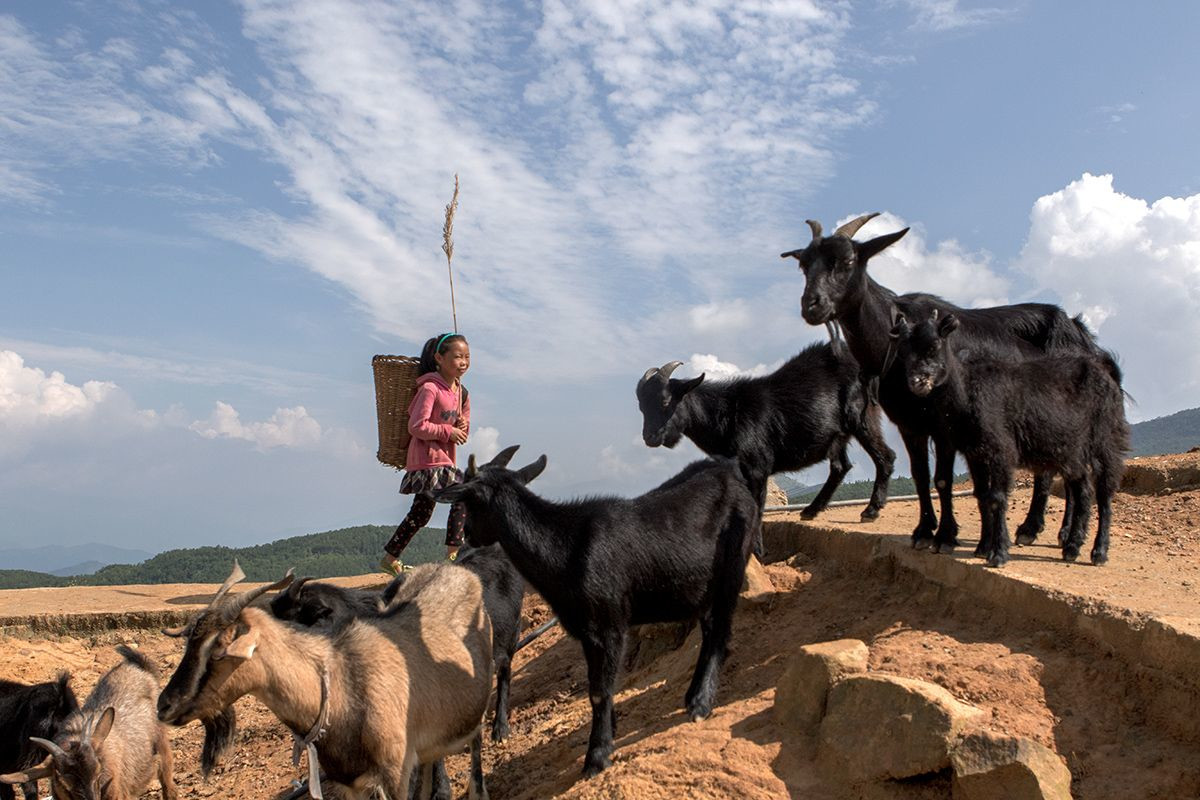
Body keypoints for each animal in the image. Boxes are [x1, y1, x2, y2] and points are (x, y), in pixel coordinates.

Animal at [156, 563, 492, 800]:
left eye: (218, 650)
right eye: (188, 645)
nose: (164, 705)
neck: (342, 687)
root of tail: (459, 570)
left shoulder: (395, 773)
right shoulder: (350, 783)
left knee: (476, 741)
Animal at [439, 443, 758, 777]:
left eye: (469, 502)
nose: (468, 536)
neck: (564, 547)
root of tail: (733, 474)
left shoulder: (608, 625)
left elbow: (598, 691)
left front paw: (597, 756)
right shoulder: (586, 630)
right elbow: (598, 686)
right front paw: (610, 731)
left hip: (733, 565)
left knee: (720, 632)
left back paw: (700, 703)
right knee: (709, 628)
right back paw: (692, 697)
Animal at [638, 347, 892, 522]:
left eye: (666, 401)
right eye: (641, 406)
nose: (650, 437)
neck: (726, 412)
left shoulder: (758, 467)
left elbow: (757, 511)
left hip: (860, 415)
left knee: (885, 456)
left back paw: (870, 511)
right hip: (837, 435)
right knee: (841, 466)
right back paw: (811, 510)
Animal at [782, 217, 1099, 556]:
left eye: (848, 261)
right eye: (804, 265)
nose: (812, 305)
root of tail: (1079, 331)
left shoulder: (945, 424)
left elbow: (943, 480)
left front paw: (945, 535)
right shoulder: (909, 423)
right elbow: (921, 476)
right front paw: (924, 531)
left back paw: (1058, 533)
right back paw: (1034, 529)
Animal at [897, 311, 1128, 568]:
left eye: (935, 344)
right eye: (903, 349)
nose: (917, 381)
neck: (967, 390)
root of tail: (1107, 372)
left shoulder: (1001, 449)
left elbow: (997, 498)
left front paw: (998, 553)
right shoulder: (975, 452)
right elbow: (982, 496)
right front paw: (983, 547)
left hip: (1106, 440)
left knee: (1104, 490)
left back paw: (1099, 552)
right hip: (1071, 450)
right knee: (1083, 489)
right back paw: (1072, 546)